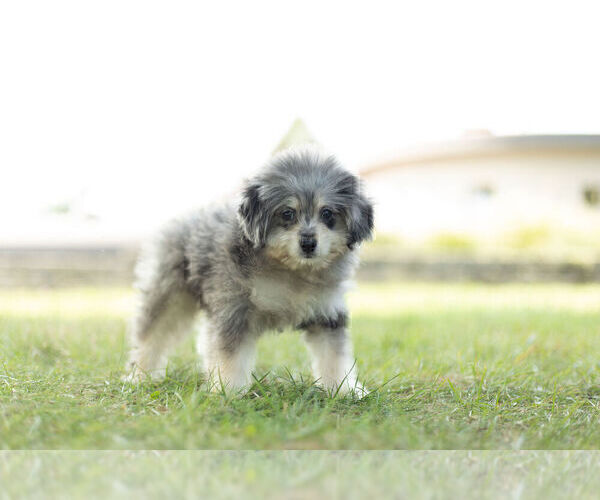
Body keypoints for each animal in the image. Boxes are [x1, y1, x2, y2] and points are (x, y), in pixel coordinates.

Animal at [127, 146, 376, 392]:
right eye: (287, 213)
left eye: (327, 213)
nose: (308, 243)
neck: (291, 271)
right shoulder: (235, 310)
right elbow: (230, 355)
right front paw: (227, 390)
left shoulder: (327, 314)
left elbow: (334, 356)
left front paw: (345, 389)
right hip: (169, 295)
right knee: (151, 337)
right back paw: (140, 376)